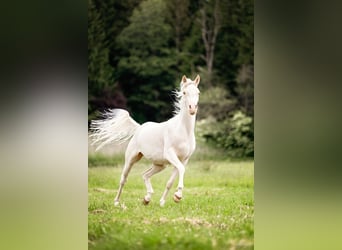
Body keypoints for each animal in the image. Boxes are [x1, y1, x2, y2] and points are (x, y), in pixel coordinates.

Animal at [90, 74, 200, 207]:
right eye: (184, 92)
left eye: (198, 92)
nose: (192, 109)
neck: (183, 131)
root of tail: (139, 128)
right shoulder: (170, 154)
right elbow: (181, 170)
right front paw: (178, 195)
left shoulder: (184, 160)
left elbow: (171, 180)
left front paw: (166, 201)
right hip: (131, 159)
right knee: (123, 179)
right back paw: (116, 202)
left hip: (160, 165)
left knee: (145, 175)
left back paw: (146, 199)